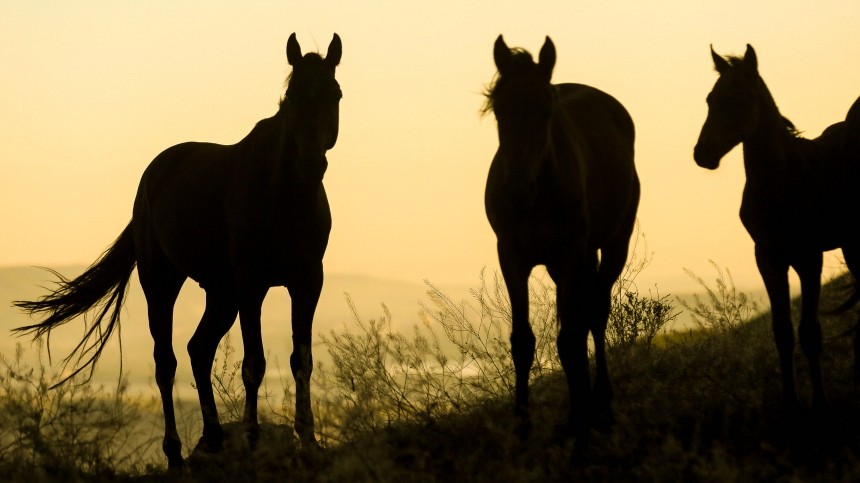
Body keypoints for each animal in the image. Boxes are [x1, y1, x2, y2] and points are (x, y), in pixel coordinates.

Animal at [13, 31, 342, 468]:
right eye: (291, 97)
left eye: (334, 94)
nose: (310, 164)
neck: (282, 196)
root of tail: (153, 175)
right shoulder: (252, 286)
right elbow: (254, 364)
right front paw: (253, 440)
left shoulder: (306, 282)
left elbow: (300, 360)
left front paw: (308, 441)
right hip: (163, 283)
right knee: (166, 361)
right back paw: (175, 452)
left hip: (221, 293)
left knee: (198, 350)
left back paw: (215, 437)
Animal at [484, 35, 640, 450]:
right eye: (499, 110)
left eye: (545, 111)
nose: (517, 190)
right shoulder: (512, 256)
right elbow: (523, 341)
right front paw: (522, 427)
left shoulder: (572, 252)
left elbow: (570, 338)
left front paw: (580, 424)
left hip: (612, 245)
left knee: (596, 313)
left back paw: (600, 404)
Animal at [692, 45, 860, 414]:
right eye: (710, 99)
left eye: (741, 98)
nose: (703, 154)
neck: (782, 180)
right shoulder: (768, 258)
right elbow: (782, 331)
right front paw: (791, 404)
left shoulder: (809, 258)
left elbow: (810, 331)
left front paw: (821, 402)